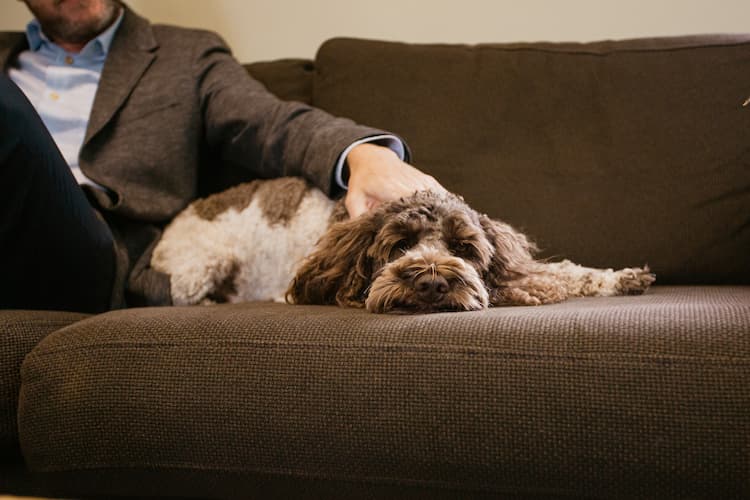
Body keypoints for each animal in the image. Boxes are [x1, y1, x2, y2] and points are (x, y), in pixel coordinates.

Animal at [150, 178, 656, 312]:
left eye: (464, 248)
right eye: (398, 246)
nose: (430, 283)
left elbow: (563, 273)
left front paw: (623, 278)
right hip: (204, 263)